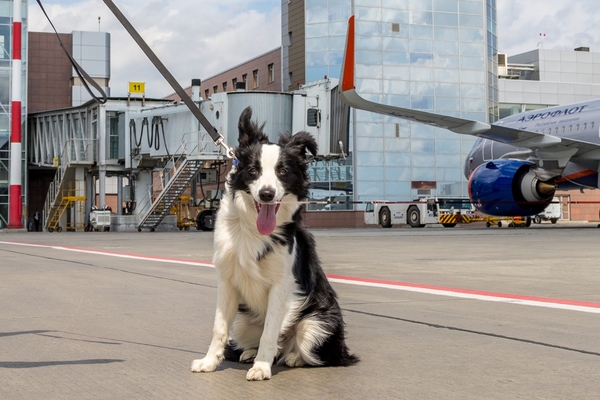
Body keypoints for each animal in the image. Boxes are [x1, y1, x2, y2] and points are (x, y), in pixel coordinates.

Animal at [192, 107, 358, 382]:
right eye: (253, 170)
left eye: (283, 171)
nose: (267, 194)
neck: (252, 229)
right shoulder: (227, 280)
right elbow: (219, 328)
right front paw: (209, 362)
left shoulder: (282, 285)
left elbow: (270, 330)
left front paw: (261, 367)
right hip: (244, 322)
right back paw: (250, 352)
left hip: (317, 323)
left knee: (316, 353)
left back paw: (292, 357)